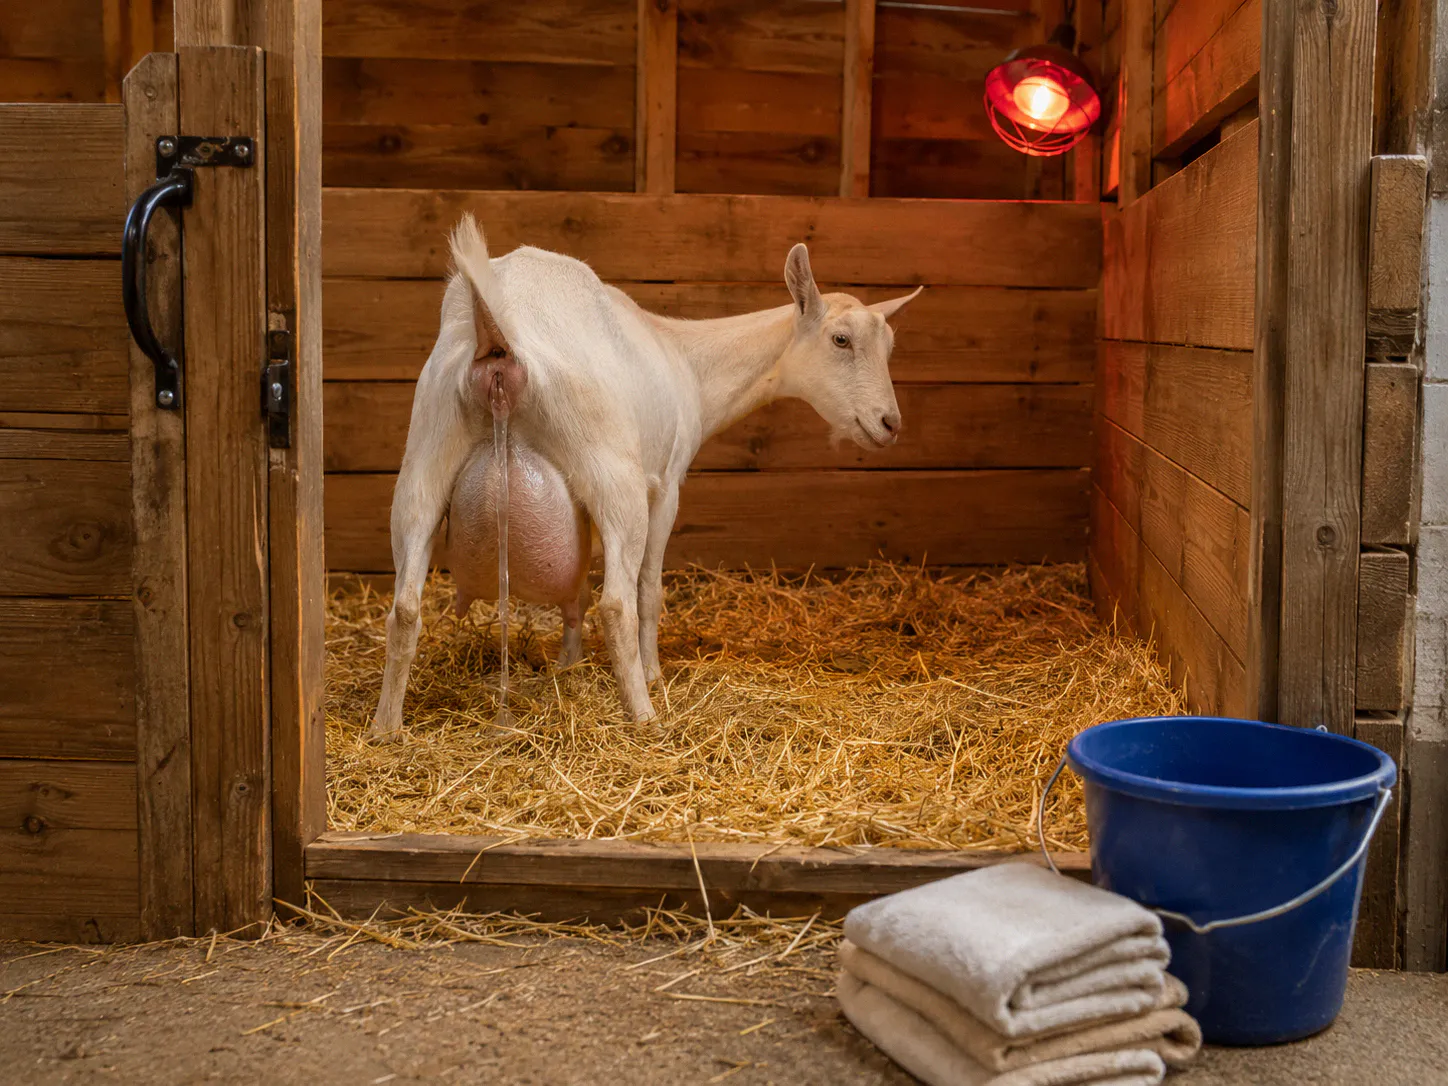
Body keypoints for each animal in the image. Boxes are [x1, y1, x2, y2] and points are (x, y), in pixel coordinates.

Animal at [370, 215, 921, 737]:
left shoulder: (576, 500)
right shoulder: (667, 483)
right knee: (618, 603)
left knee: (405, 604)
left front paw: (568, 666)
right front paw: (652, 673)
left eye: (890, 345)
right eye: (841, 339)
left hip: (425, 459)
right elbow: (648, 590)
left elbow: (576, 588)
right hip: (615, 476)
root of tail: (498, 336)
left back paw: (385, 730)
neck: (688, 360)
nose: (890, 424)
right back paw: (645, 716)